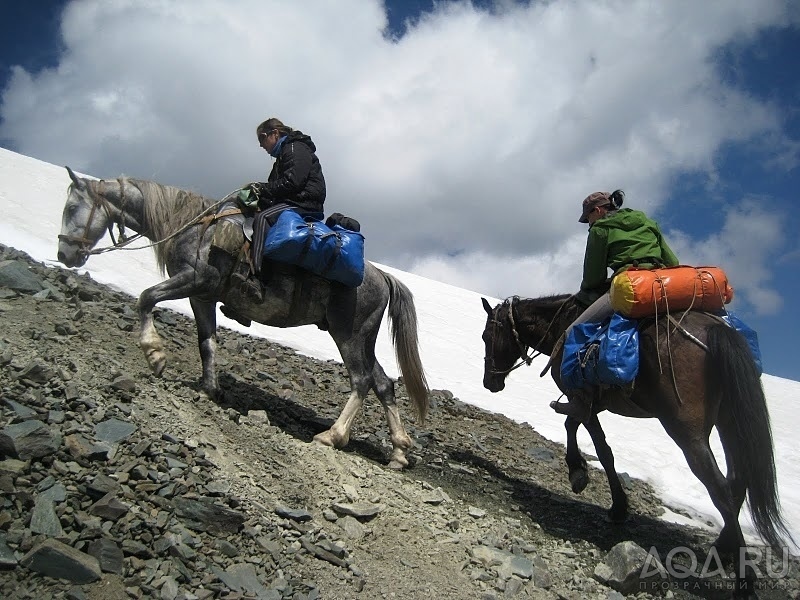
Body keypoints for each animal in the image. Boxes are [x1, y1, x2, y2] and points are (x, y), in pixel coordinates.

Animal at [57, 168, 428, 468]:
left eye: (71, 208)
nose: (65, 254)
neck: (192, 228)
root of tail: (382, 276)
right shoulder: (201, 296)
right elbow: (206, 342)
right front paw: (210, 389)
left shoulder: (194, 280)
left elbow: (147, 297)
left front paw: (155, 355)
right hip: (362, 338)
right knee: (383, 383)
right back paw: (398, 452)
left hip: (347, 334)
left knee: (361, 380)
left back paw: (332, 436)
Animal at [484, 292, 792, 592]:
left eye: (487, 336)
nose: (490, 383)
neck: (560, 324)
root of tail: (718, 331)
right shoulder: (593, 404)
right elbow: (574, 426)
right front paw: (582, 475)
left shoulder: (582, 401)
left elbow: (599, 446)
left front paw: (597, 490)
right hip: (728, 420)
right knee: (737, 479)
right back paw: (723, 551)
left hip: (687, 430)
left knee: (720, 488)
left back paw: (744, 580)